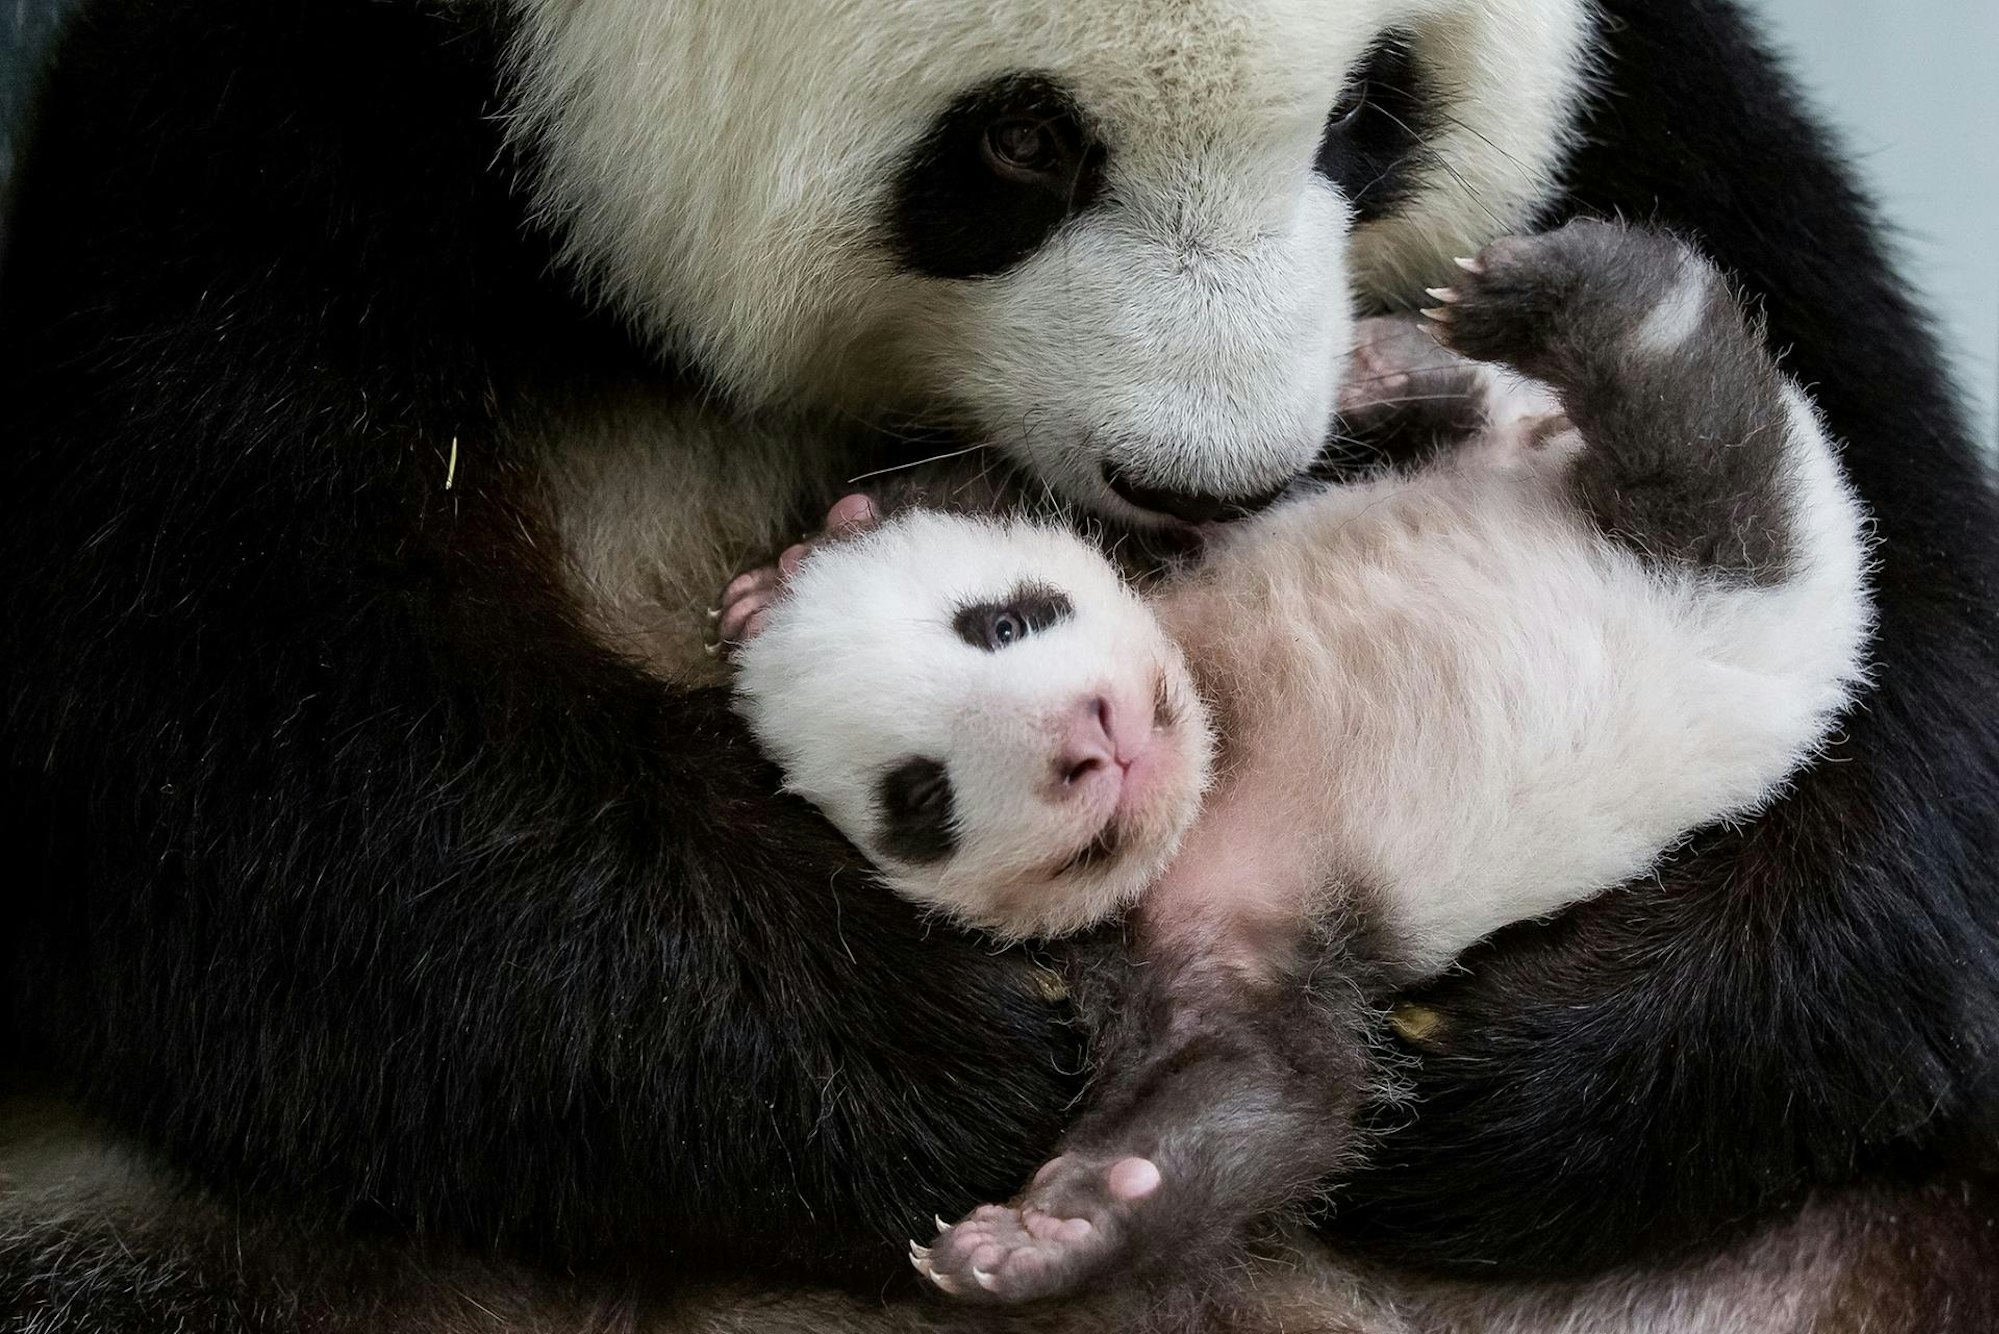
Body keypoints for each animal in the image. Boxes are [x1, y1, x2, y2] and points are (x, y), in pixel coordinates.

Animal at [1, 0, 1996, 1328]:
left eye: (1374, 110)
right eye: (1019, 146)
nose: (1217, 479)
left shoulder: (1664, 79)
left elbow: (1923, 596)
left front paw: (1506, 1083)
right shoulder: (287, 136)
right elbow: (246, 754)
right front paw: (953, 1077)